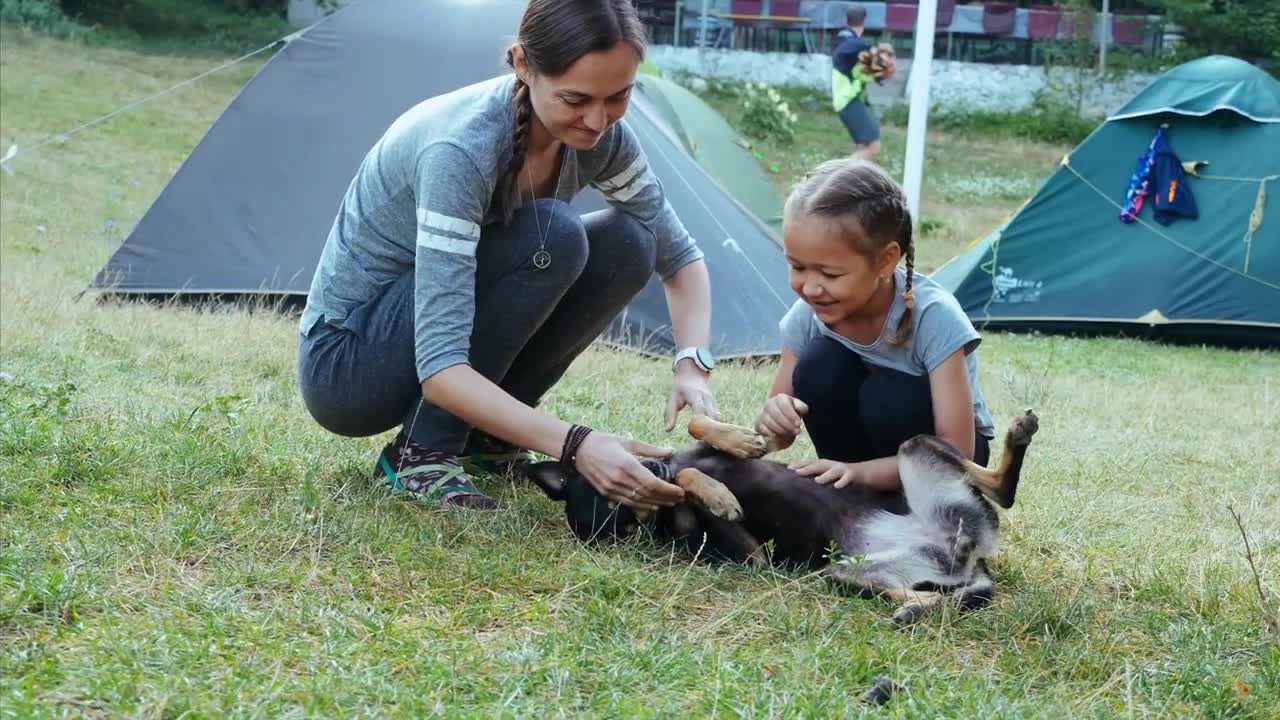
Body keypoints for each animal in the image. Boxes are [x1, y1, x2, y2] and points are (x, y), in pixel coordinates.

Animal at [524, 409, 1034, 622]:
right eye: (624, 506)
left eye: (620, 480)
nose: (651, 471)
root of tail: (965, 556)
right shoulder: (753, 556)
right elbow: (687, 489)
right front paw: (716, 496)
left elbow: (698, 425)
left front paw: (738, 443)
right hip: (844, 574)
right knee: (930, 594)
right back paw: (915, 609)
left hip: (916, 449)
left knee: (1000, 489)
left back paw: (1018, 437)